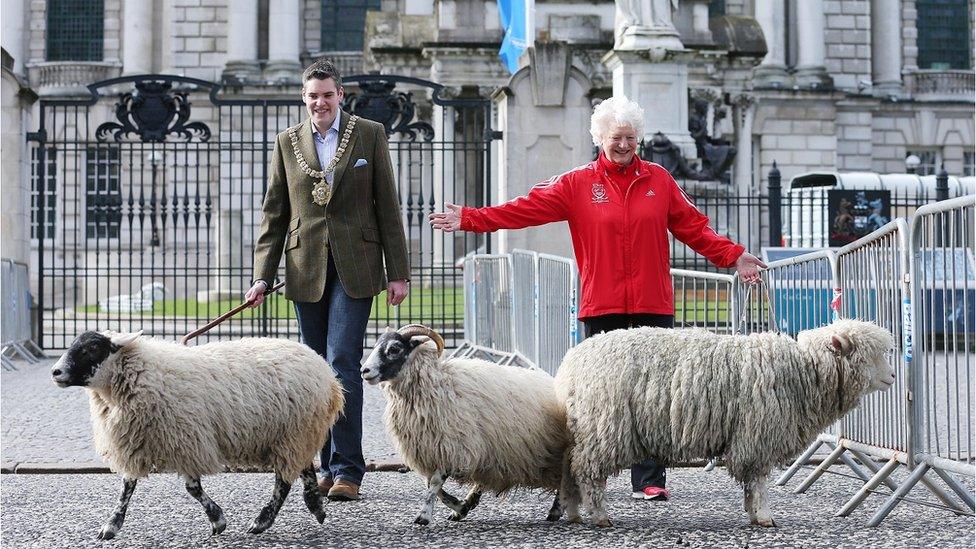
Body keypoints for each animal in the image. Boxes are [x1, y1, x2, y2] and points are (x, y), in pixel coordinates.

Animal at [52, 330, 346, 540]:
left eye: (92, 348)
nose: (55, 372)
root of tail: (326, 371)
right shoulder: (139, 441)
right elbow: (127, 486)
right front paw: (111, 526)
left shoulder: (186, 439)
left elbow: (191, 488)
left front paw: (218, 520)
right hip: (296, 434)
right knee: (303, 467)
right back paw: (316, 506)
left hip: (294, 431)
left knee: (283, 482)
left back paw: (262, 521)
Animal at [362, 324, 568, 524]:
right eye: (376, 346)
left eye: (394, 348)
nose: (364, 370)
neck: (436, 384)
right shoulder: (433, 450)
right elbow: (434, 487)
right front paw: (459, 507)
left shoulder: (453, 446)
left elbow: (435, 483)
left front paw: (424, 516)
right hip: (495, 454)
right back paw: (468, 503)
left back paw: (555, 510)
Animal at [552, 316, 896, 528]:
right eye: (870, 354)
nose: (893, 376)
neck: (804, 371)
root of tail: (571, 364)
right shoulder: (757, 434)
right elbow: (758, 481)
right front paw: (764, 516)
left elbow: (752, 484)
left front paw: (753, 513)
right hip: (603, 427)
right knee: (587, 472)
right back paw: (599, 515)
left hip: (583, 427)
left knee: (569, 469)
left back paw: (571, 512)